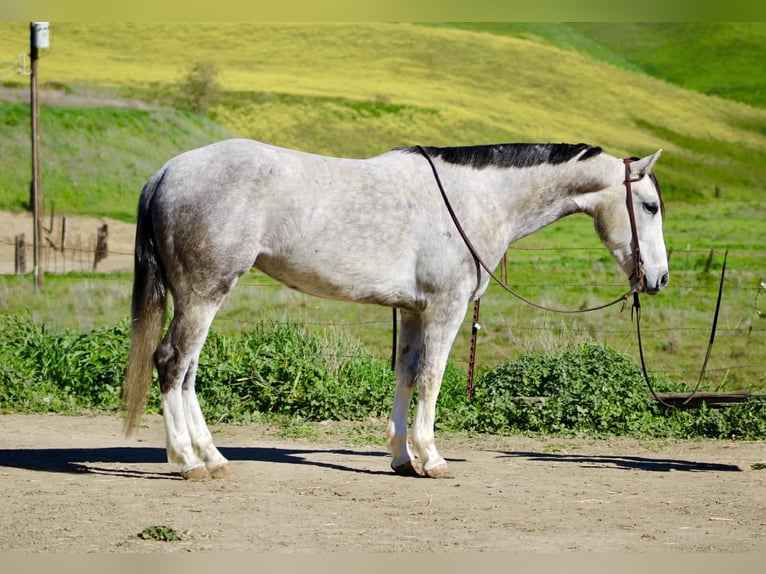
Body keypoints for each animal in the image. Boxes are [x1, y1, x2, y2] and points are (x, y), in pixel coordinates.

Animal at [122, 138, 669, 480]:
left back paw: (212, 456)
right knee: (172, 363)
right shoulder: (446, 308)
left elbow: (406, 375)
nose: (659, 279)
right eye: (651, 206)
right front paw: (432, 457)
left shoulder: (412, 311)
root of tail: (167, 172)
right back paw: (188, 462)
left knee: (188, 371)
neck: (475, 198)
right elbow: (432, 376)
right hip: (203, 294)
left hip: (201, 298)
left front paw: (402, 457)